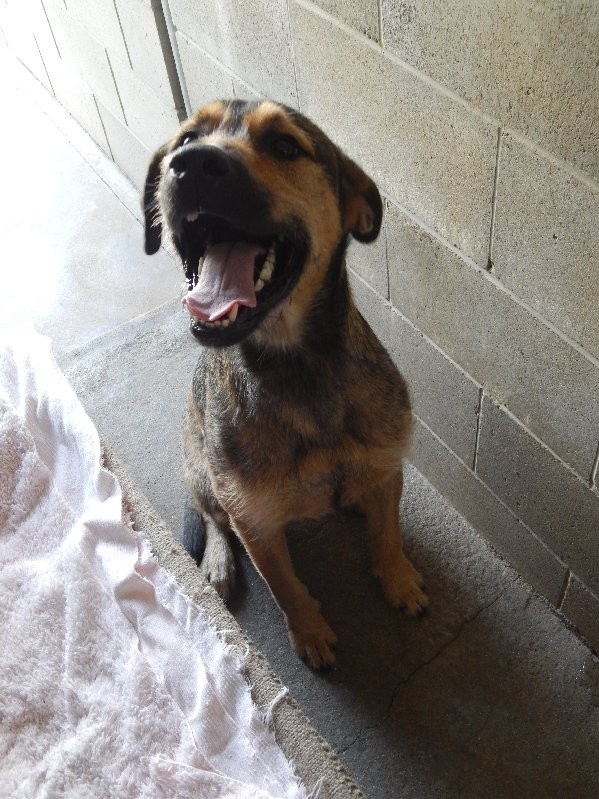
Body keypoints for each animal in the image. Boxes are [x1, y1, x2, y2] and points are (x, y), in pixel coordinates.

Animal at [142, 99, 428, 669]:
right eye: (186, 138)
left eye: (284, 145)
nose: (191, 164)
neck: (299, 371)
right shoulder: (256, 524)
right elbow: (286, 588)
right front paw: (310, 632)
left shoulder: (388, 465)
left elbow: (388, 535)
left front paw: (399, 579)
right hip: (200, 467)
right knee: (209, 514)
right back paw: (219, 561)